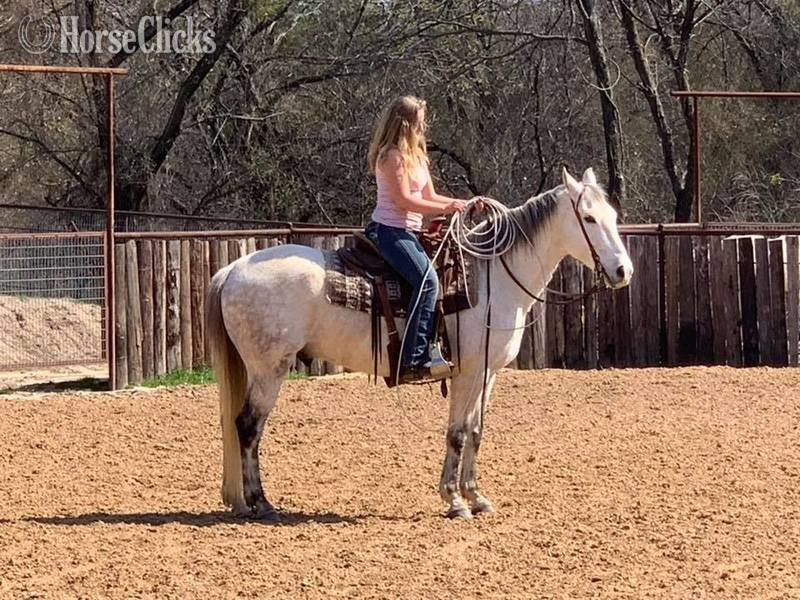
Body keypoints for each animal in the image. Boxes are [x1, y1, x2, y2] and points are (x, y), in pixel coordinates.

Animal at [206, 167, 633, 520]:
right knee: (248, 426)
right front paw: (455, 501)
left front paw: (476, 496)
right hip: (269, 369)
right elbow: (457, 432)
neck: (492, 276)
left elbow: (475, 431)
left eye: (613, 217)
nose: (622, 271)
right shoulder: (468, 372)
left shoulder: (488, 374)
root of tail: (232, 270)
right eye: (589, 218)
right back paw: (262, 503)